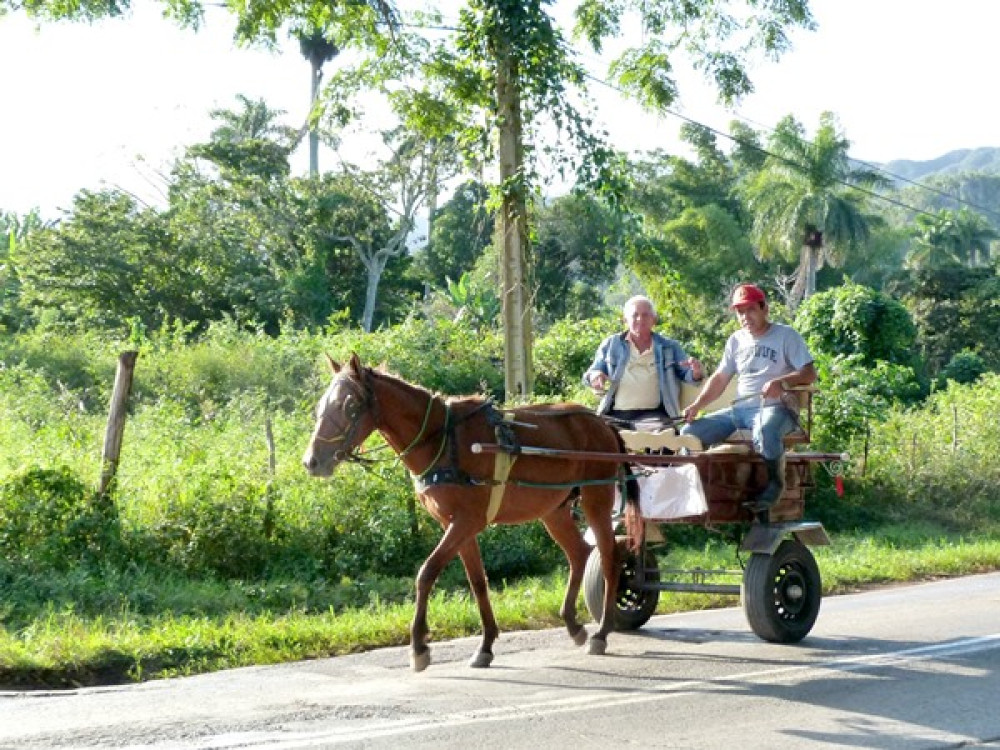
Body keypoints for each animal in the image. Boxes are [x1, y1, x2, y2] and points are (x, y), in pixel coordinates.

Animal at [300, 354, 636, 676]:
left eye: (349, 405)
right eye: (321, 405)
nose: (312, 461)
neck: (443, 440)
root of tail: (602, 423)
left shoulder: (466, 522)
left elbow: (427, 573)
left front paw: (418, 646)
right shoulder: (457, 525)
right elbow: (477, 582)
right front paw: (485, 645)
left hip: (597, 498)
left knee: (609, 555)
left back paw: (602, 631)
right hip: (553, 510)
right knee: (579, 553)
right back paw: (573, 624)